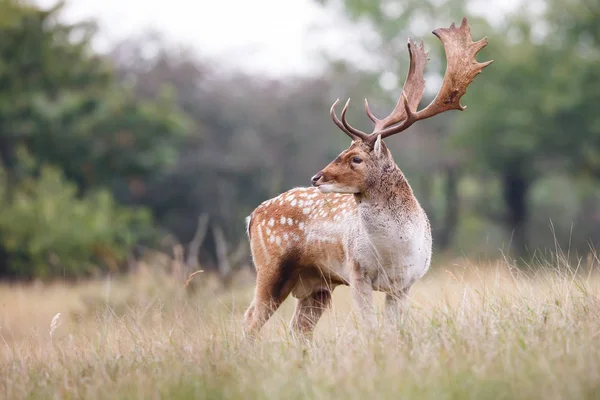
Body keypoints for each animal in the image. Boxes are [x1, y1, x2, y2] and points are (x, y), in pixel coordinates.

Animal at [244, 17, 492, 340]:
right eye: (343, 151)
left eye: (356, 159)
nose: (316, 177)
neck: (395, 252)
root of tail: (251, 217)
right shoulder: (357, 271)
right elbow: (370, 326)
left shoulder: (406, 282)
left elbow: (392, 329)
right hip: (271, 267)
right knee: (250, 320)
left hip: (316, 283)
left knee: (298, 329)